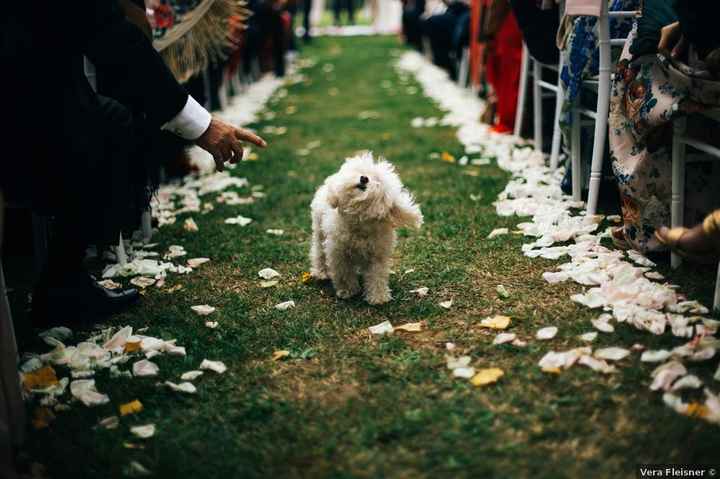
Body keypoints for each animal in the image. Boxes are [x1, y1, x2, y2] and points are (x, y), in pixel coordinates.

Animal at [310, 152, 422, 306]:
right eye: (361, 171)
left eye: (378, 180)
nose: (364, 178)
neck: (360, 223)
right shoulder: (339, 253)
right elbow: (344, 274)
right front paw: (347, 291)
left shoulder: (378, 255)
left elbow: (377, 276)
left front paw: (378, 297)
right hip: (319, 233)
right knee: (319, 252)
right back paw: (321, 273)